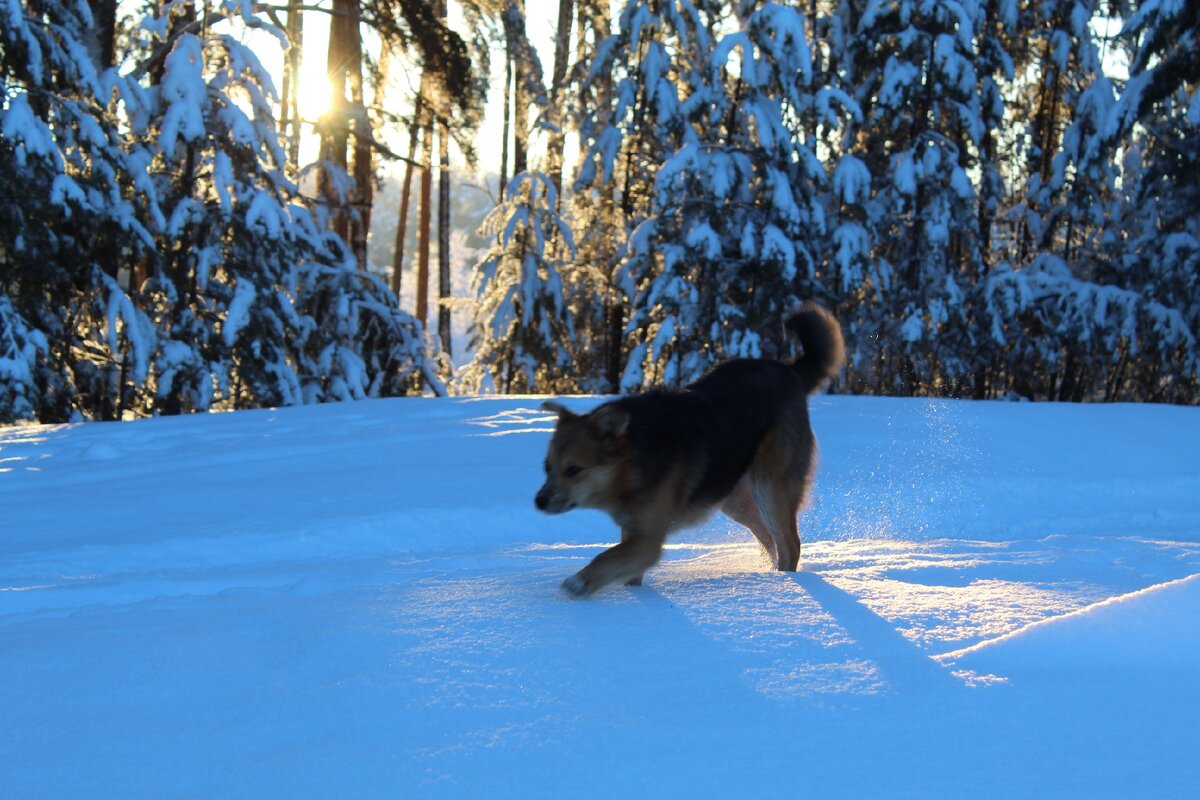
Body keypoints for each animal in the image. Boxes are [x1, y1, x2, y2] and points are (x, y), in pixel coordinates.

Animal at [537, 303, 844, 597]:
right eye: (547, 467)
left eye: (573, 469)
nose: (538, 501)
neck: (634, 464)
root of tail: (790, 372)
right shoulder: (634, 530)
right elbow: (625, 568)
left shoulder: (648, 539)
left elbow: (607, 557)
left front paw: (579, 583)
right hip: (734, 497)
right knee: (768, 538)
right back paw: (769, 575)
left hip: (769, 485)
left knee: (789, 543)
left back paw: (786, 583)